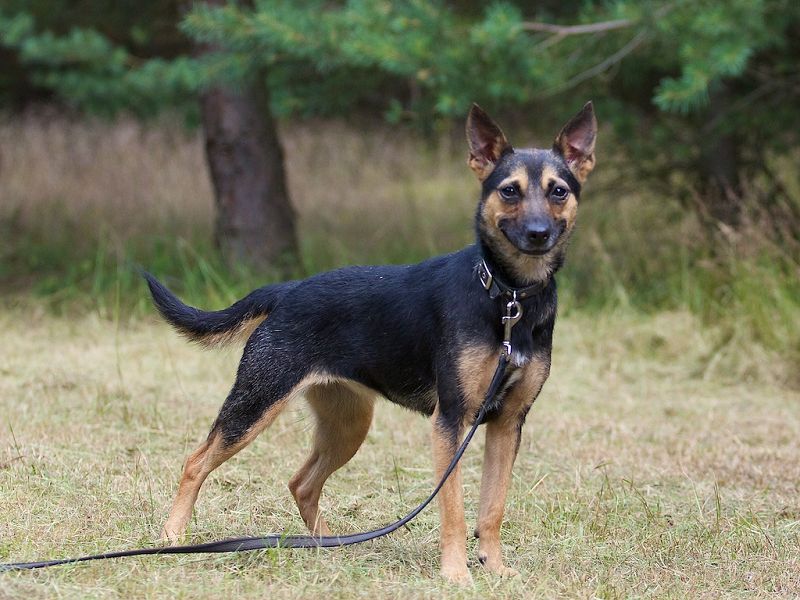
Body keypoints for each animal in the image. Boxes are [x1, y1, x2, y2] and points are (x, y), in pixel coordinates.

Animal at [145, 102, 597, 584]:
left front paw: (494, 567)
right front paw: (456, 573)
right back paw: (173, 535)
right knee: (196, 462)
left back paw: (325, 546)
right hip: (254, 406)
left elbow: (492, 508)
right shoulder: (451, 422)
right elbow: (454, 511)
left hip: (348, 424)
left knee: (302, 483)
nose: (537, 233)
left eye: (559, 192)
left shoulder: (508, 423)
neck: (508, 298)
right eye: (510, 191)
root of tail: (287, 290)